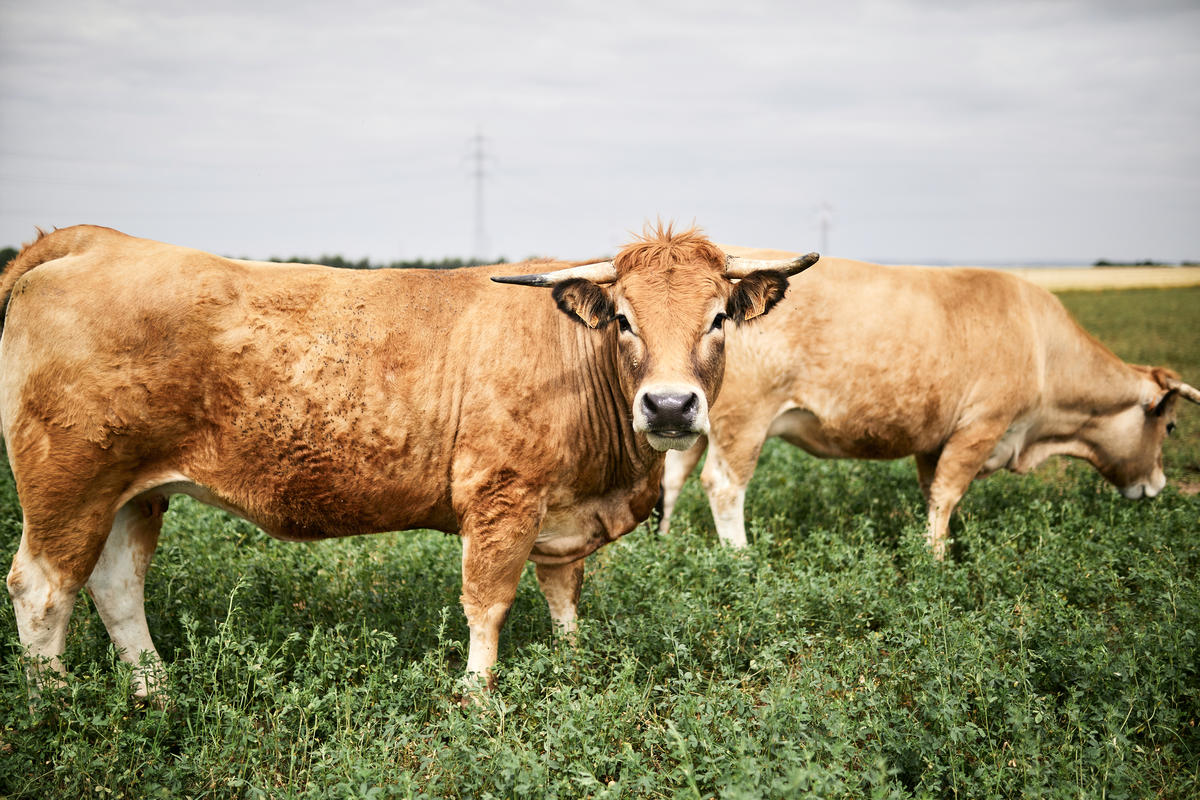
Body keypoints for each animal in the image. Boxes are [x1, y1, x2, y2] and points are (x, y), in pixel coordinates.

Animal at [0, 224, 816, 695]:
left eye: (719, 317)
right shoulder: (500, 498)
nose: (671, 407)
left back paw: (156, 693)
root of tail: (94, 239)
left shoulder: (561, 516)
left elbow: (564, 600)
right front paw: (479, 702)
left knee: (115, 587)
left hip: (133, 492)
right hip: (68, 485)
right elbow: (488, 604)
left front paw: (571, 668)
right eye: (622, 319)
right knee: (43, 591)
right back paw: (60, 713)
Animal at [657, 253, 1200, 561]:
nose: (1158, 485)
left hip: (695, 421)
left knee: (674, 475)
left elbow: (931, 493)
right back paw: (739, 560)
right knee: (723, 486)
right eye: (1172, 427)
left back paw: (664, 543)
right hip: (744, 423)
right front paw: (937, 561)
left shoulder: (932, 439)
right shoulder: (981, 426)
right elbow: (947, 494)